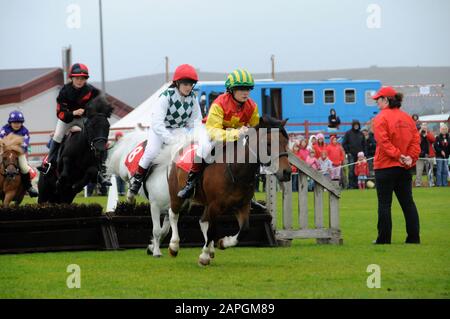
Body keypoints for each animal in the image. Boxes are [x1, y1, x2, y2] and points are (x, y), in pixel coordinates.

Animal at [107, 129, 192, 258]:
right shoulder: (155, 206)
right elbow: (156, 230)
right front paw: (156, 252)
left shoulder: (172, 208)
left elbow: (164, 231)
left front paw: (151, 247)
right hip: (123, 169)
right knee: (125, 176)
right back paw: (131, 194)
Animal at [168, 116, 292, 266]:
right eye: (268, 143)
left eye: (286, 142)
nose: (286, 172)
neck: (236, 170)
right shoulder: (215, 206)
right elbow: (212, 230)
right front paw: (204, 256)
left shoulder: (242, 205)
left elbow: (244, 230)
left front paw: (222, 243)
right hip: (176, 195)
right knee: (173, 214)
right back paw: (174, 246)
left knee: (202, 220)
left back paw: (210, 249)